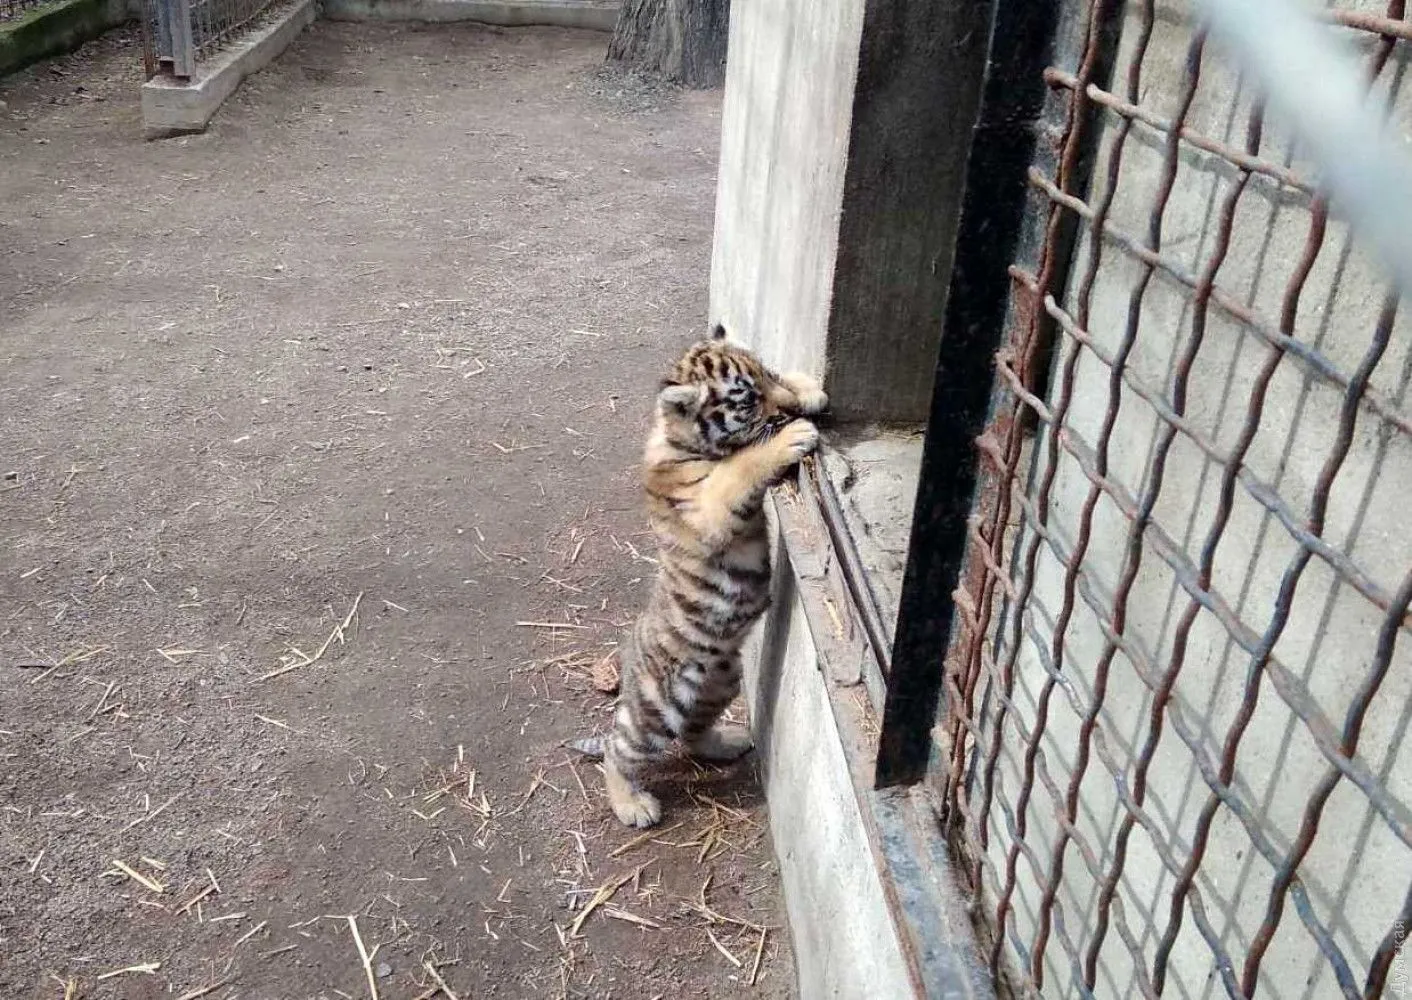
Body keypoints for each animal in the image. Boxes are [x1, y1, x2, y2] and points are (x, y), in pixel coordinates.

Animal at [568, 324, 828, 827]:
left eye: (767, 374)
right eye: (748, 401)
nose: (788, 409)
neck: (680, 438)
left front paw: (808, 389)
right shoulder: (708, 509)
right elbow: (740, 468)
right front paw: (790, 436)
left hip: (720, 682)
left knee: (693, 734)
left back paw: (728, 742)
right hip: (656, 709)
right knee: (618, 749)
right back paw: (632, 805)